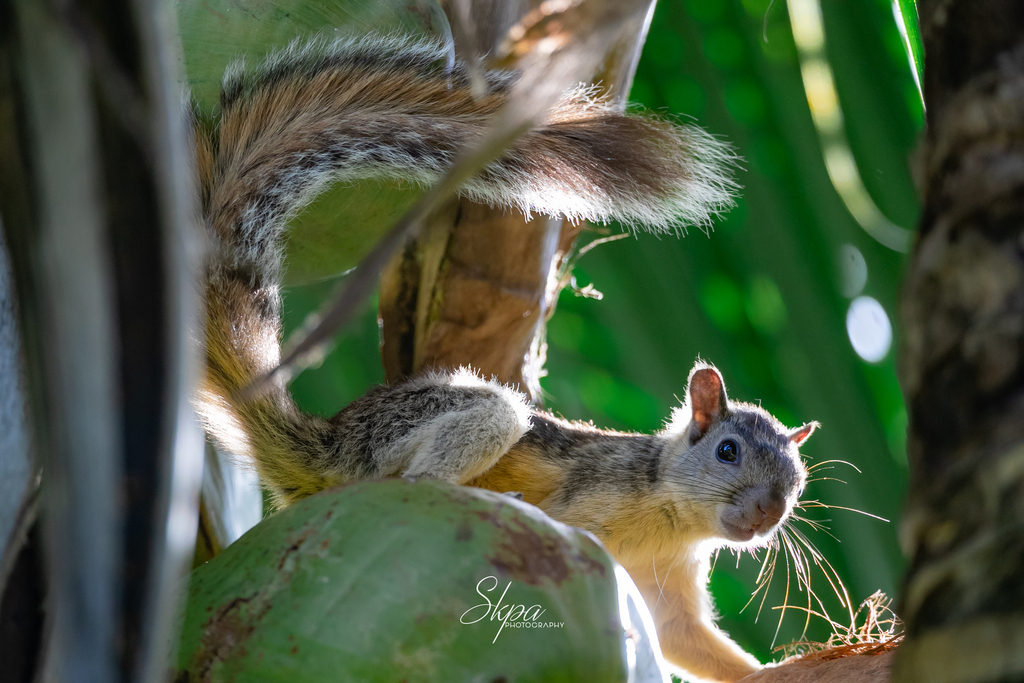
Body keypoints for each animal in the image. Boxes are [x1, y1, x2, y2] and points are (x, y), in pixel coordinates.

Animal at [190, 33, 815, 683]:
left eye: (799, 480)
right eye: (727, 450)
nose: (770, 512)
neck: (670, 519)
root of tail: (323, 446)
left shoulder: (669, 586)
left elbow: (685, 639)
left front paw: (776, 667)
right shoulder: (591, 497)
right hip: (440, 431)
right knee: (415, 476)